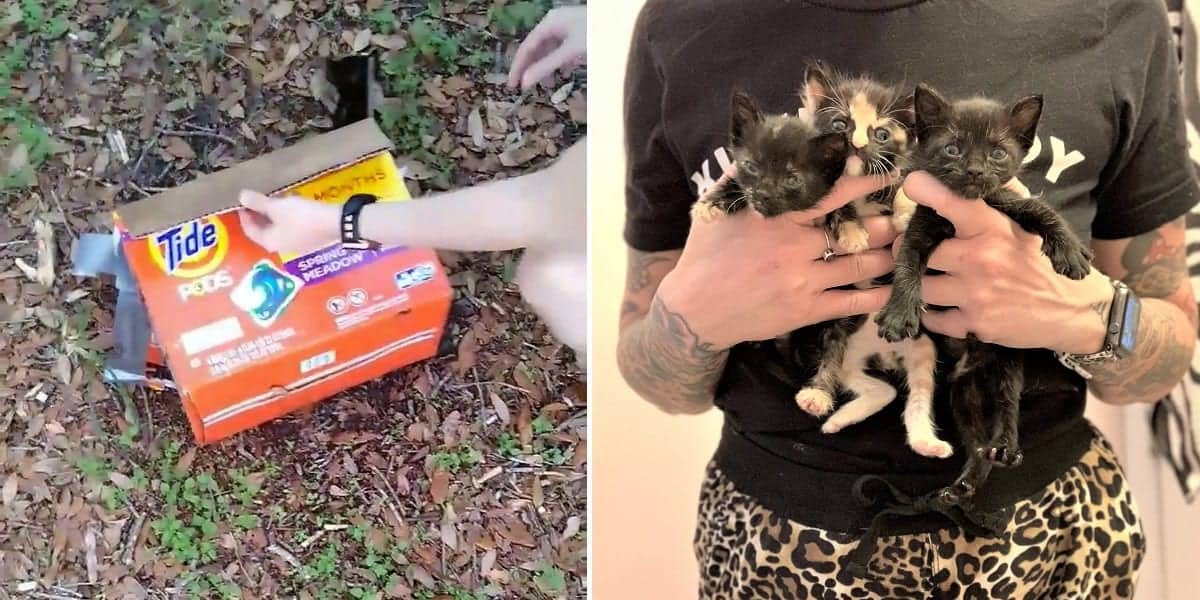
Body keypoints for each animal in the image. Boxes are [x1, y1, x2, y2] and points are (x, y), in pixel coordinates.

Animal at [792, 65, 950, 456]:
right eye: (840, 124)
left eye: (880, 133)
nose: (858, 145)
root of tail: (883, 350)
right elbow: (836, 208)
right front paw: (852, 232)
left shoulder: (899, 174)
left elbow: (906, 185)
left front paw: (905, 215)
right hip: (843, 339)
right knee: (861, 377)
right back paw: (821, 402)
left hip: (921, 346)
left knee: (912, 394)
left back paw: (926, 442)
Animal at [873, 84, 1099, 506]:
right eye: (952, 148)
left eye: (997, 153)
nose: (975, 170)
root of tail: (973, 366)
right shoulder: (922, 224)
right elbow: (907, 263)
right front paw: (899, 313)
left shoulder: (1007, 201)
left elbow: (1041, 209)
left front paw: (1071, 251)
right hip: (961, 396)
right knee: (976, 443)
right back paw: (964, 483)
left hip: (1008, 362)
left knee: (1007, 409)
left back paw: (1006, 446)